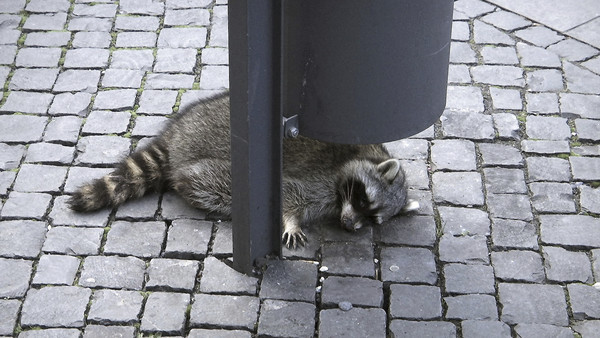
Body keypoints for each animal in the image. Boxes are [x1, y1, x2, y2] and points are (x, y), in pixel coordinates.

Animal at [69, 92, 418, 248]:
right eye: (362, 200)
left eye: (372, 218)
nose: (348, 225)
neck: (367, 154)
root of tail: (178, 134)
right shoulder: (321, 177)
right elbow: (289, 195)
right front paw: (290, 221)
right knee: (211, 182)